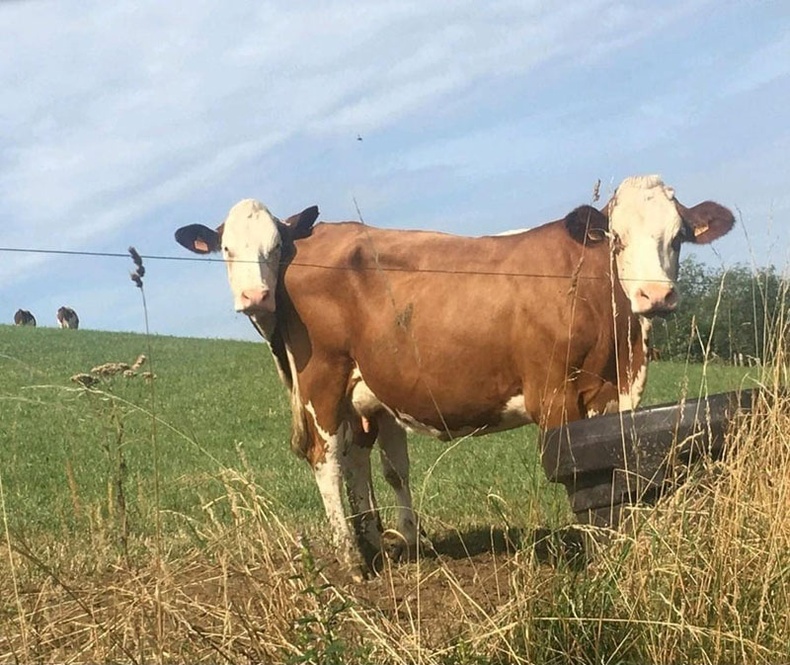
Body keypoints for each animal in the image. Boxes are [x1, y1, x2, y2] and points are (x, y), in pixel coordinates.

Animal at [176, 176, 735, 579]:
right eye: (616, 239)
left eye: (679, 238)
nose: (654, 296)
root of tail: (317, 232)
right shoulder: (554, 395)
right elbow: (577, 478)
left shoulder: (611, 395)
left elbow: (614, 474)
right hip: (322, 377)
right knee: (326, 457)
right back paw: (354, 562)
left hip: (360, 390)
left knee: (356, 459)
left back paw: (382, 545)